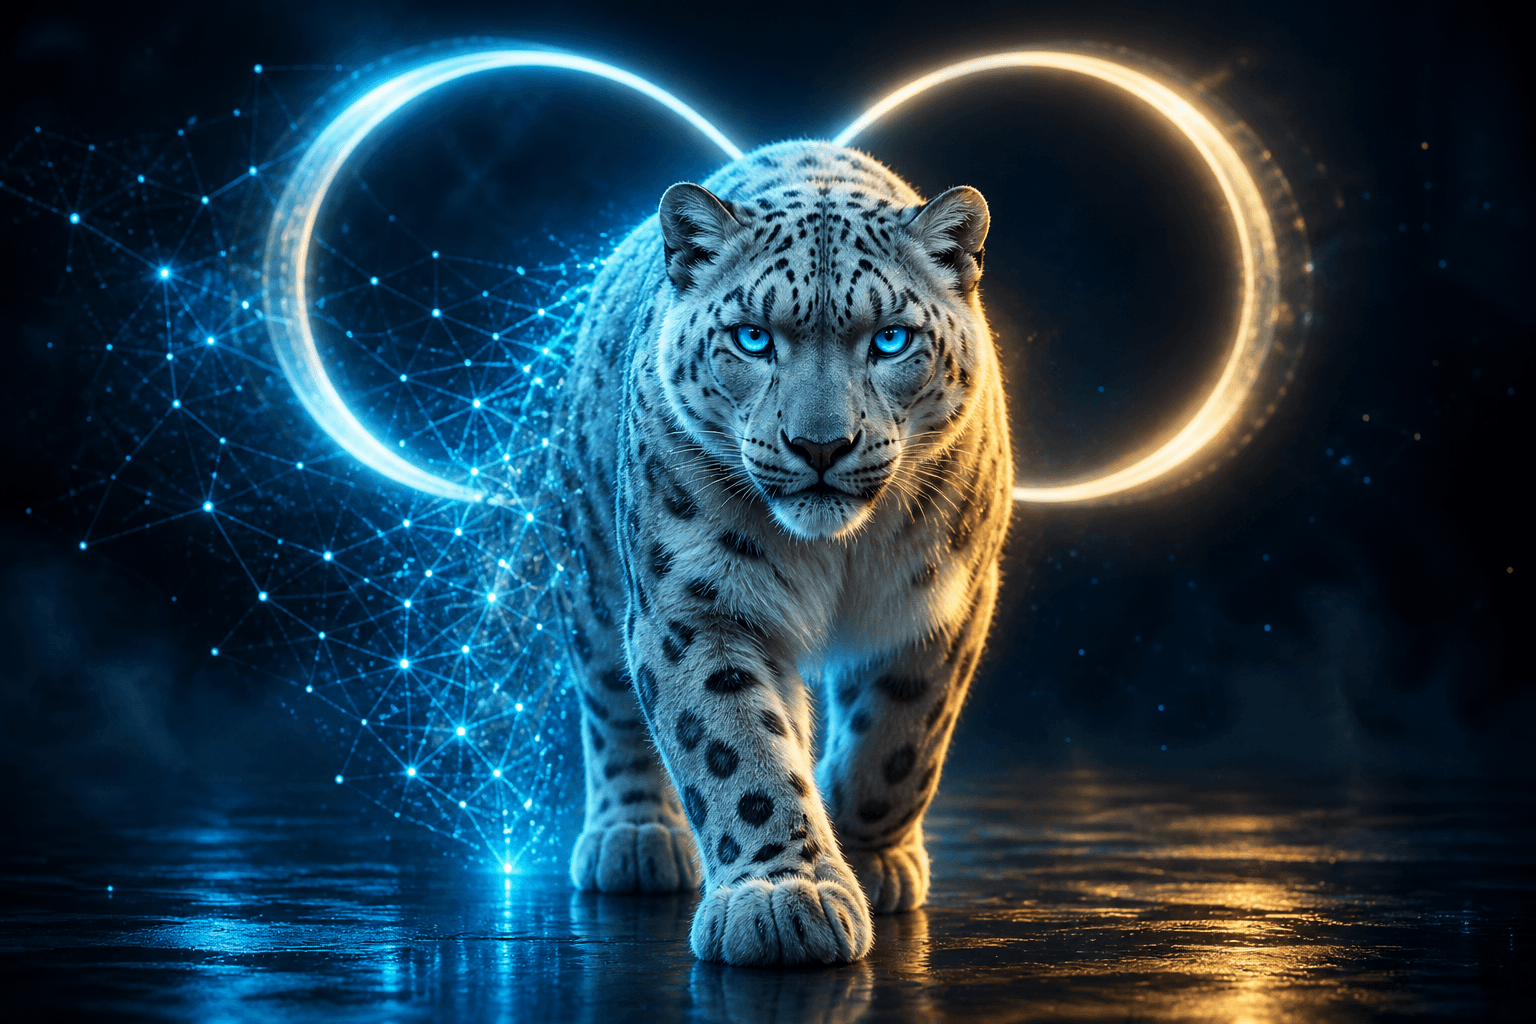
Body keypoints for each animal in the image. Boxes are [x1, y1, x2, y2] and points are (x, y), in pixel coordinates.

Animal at [551, 139, 1012, 967]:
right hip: (594, 574)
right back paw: (634, 837)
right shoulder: (696, 606)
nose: (821, 445)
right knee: (610, 706)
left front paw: (870, 857)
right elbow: (736, 750)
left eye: (891, 338)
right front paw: (782, 899)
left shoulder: (943, 602)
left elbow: (900, 743)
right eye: (753, 337)